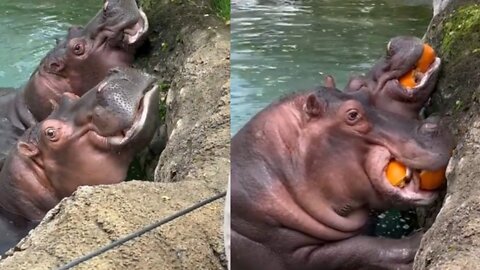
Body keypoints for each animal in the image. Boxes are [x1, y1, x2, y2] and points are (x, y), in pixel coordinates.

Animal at [232, 87, 454, 270]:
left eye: (364, 93)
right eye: (352, 115)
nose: (434, 123)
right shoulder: (287, 251)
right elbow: (355, 250)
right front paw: (418, 240)